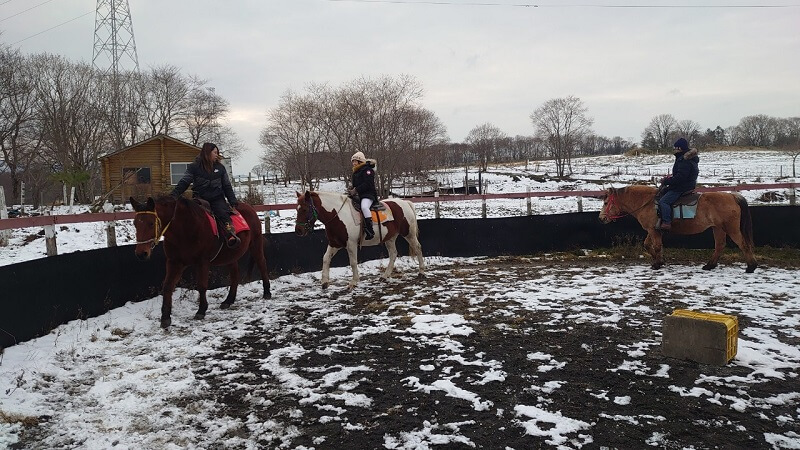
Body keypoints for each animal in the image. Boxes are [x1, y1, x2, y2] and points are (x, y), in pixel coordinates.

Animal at [130, 196, 270, 326]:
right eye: (135, 223)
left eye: (151, 223)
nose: (141, 253)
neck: (185, 229)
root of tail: (250, 208)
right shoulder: (174, 263)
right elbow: (167, 286)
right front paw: (165, 317)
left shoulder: (203, 262)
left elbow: (202, 286)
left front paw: (201, 310)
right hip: (231, 256)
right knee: (235, 275)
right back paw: (228, 300)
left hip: (255, 244)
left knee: (262, 264)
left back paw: (267, 293)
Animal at [296, 190, 424, 288]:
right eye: (297, 209)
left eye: (304, 209)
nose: (298, 230)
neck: (338, 216)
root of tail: (405, 202)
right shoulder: (334, 244)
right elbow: (326, 258)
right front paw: (324, 282)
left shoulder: (351, 244)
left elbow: (353, 262)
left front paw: (353, 282)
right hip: (390, 238)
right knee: (393, 254)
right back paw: (385, 276)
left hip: (409, 234)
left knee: (417, 248)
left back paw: (421, 272)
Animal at [600, 185, 756, 272]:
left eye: (606, 202)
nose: (601, 218)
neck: (646, 203)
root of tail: (732, 196)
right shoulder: (653, 230)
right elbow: (648, 245)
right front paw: (659, 260)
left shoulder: (653, 230)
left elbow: (657, 246)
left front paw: (657, 264)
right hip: (718, 228)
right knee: (719, 246)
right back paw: (710, 265)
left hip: (731, 229)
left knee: (743, 244)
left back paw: (751, 267)